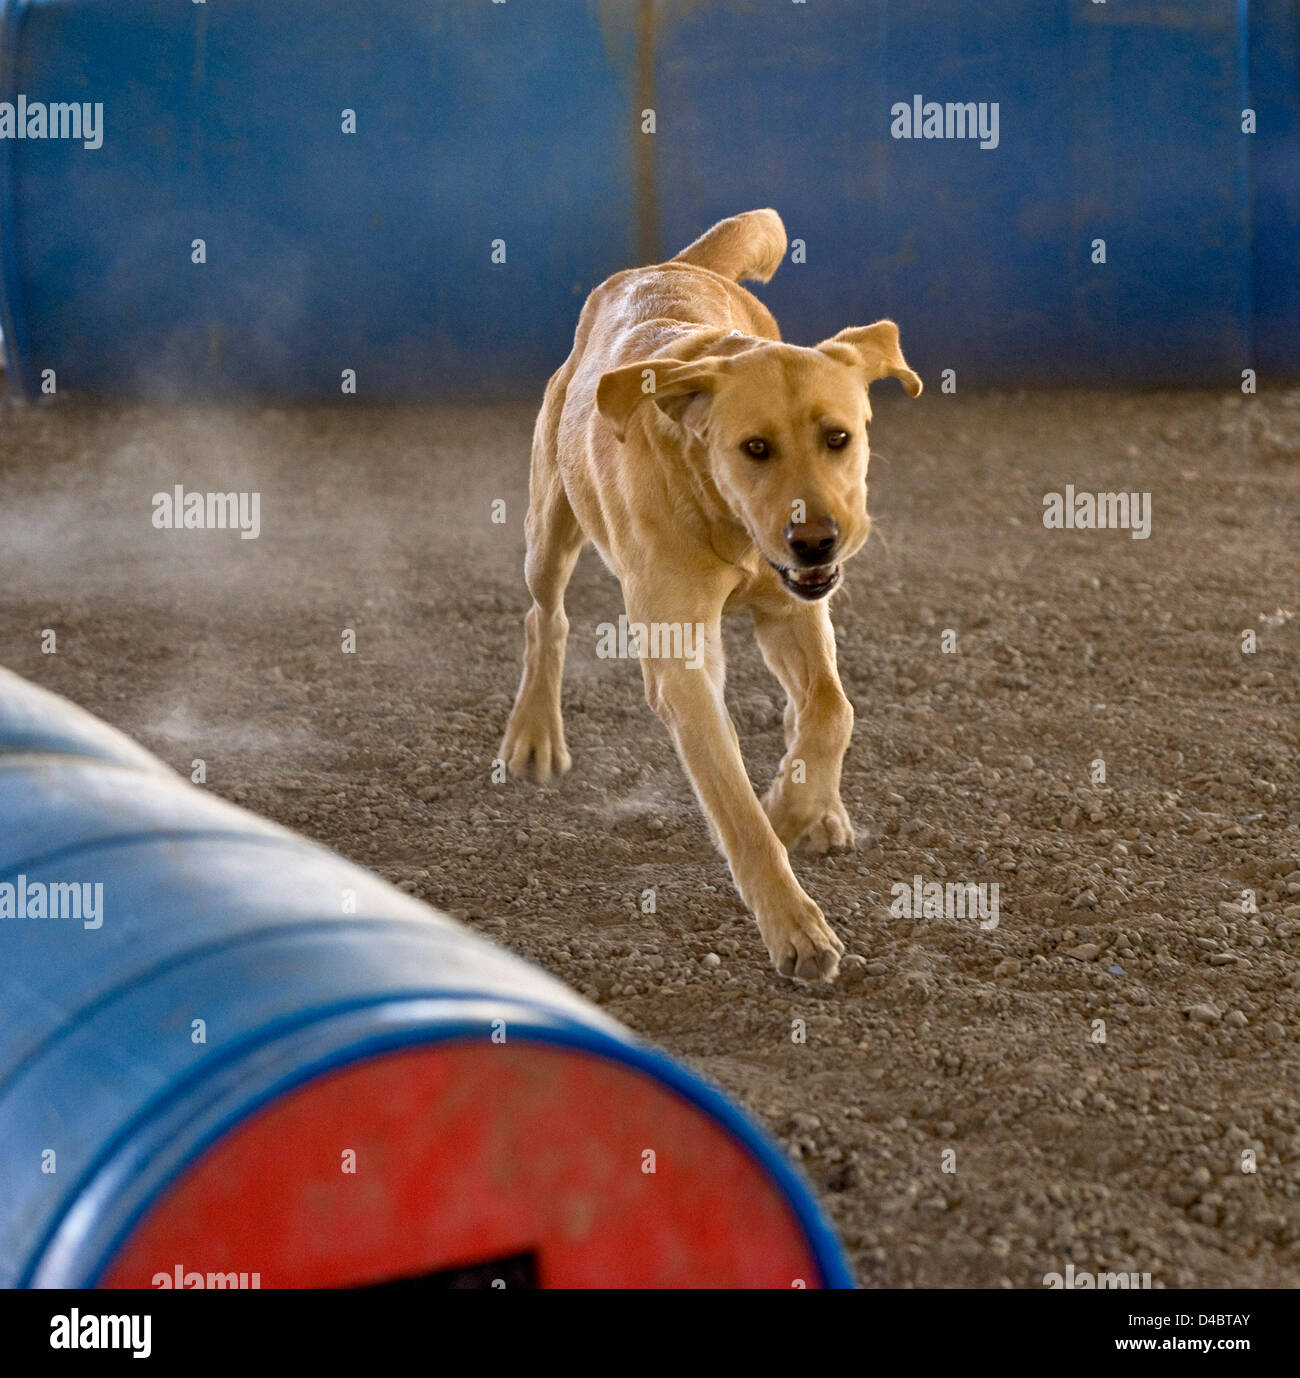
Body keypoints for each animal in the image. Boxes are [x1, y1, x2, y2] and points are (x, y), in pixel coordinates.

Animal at [504, 206, 920, 981]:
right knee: (545, 620)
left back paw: (824, 808)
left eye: (839, 438)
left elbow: (832, 710)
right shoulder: (681, 665)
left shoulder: (792, 610)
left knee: (807, 705)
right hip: (549, 531)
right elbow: (737, 809)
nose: (816, 541)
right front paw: (793, 922)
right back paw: (534, 734)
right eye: (754, 448)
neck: (725, 520)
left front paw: (798, 807)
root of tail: (669, 266)